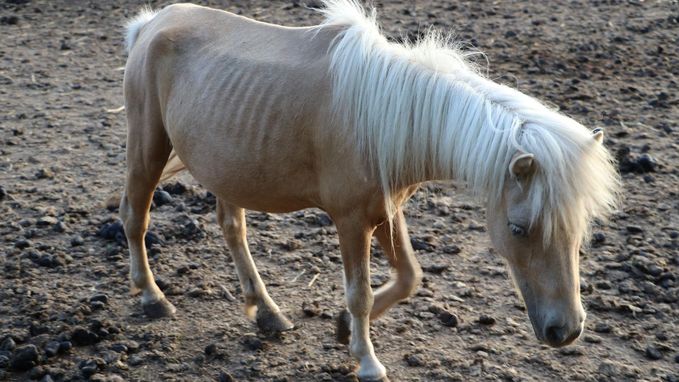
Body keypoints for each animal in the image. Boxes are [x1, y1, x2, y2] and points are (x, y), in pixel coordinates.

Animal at [119, 1, 620, 380]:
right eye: (518, 229)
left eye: (581, 229)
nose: (566, 331)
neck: (384, 115)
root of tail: (152, 23)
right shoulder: (351, 220)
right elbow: (359, 291)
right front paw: (366, 361)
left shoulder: (385, 210)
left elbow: (409, 277)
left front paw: (343, 328)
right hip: (147, 151)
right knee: (135, 217)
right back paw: (153, 298)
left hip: (227, 170)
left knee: (232, 229)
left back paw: (266, 313)